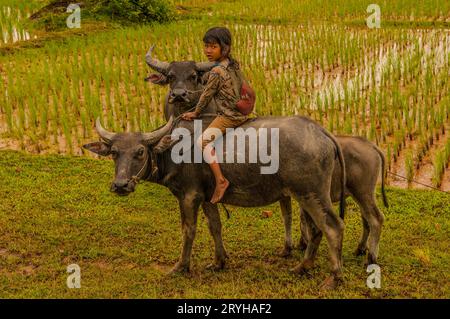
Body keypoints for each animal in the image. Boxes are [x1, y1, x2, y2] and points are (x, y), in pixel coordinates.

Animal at [82, 115, 346, 290]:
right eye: (114, 153)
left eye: (140, 152)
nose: (121, 185)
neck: (173, 151)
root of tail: (321, 132)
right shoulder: (208, 198)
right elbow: (215, 227)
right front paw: (219, 261)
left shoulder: (189, 196)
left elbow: (188, 230)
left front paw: (181, 266)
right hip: (306, 196)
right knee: (316, 230)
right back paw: (303, 267)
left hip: (310, 194)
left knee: (333, 227)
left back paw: (333, 278)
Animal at [280, 136, 388, 266]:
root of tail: (370, 144)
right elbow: (298, 218)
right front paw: (301, 244)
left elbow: (290, 219)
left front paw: (289, 248)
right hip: (362, 196)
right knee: (366, 220)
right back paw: (360, 249)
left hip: (363, 193)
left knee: (376, 219)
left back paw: (371, 259)